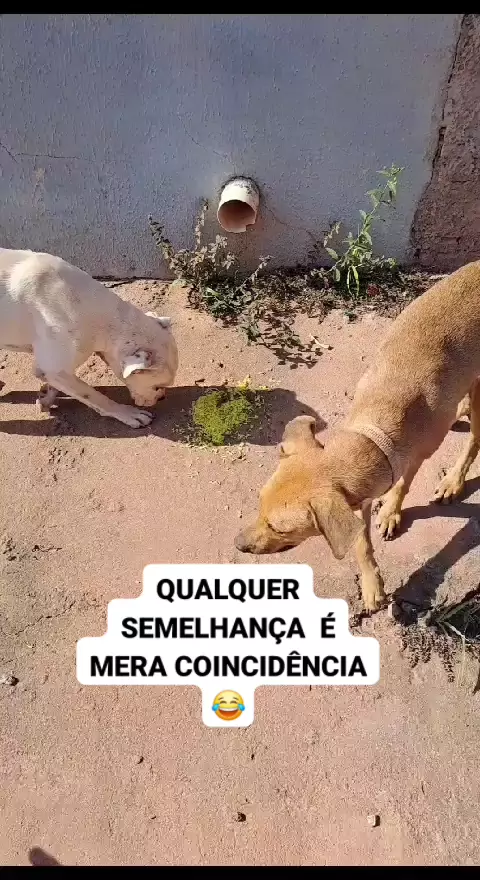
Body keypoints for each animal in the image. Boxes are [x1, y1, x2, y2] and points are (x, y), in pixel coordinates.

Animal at [0, 248, 178, 428]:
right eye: (157, 387)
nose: (162, 397)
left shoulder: (52, 368)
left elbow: (53, 385)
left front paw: (46, 399)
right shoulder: (56, 370)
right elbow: (94, 396)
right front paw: (128, 413)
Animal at [235, 260, 480, 612]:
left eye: (279, 528)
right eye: (258, 506)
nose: (239, 545)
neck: (378, 423)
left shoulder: (416, 456)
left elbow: (403, 484)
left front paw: (391, 510)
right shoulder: (360, 496)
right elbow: (362, 542)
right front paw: (371, 584)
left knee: (475, 437)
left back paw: (454, 480)